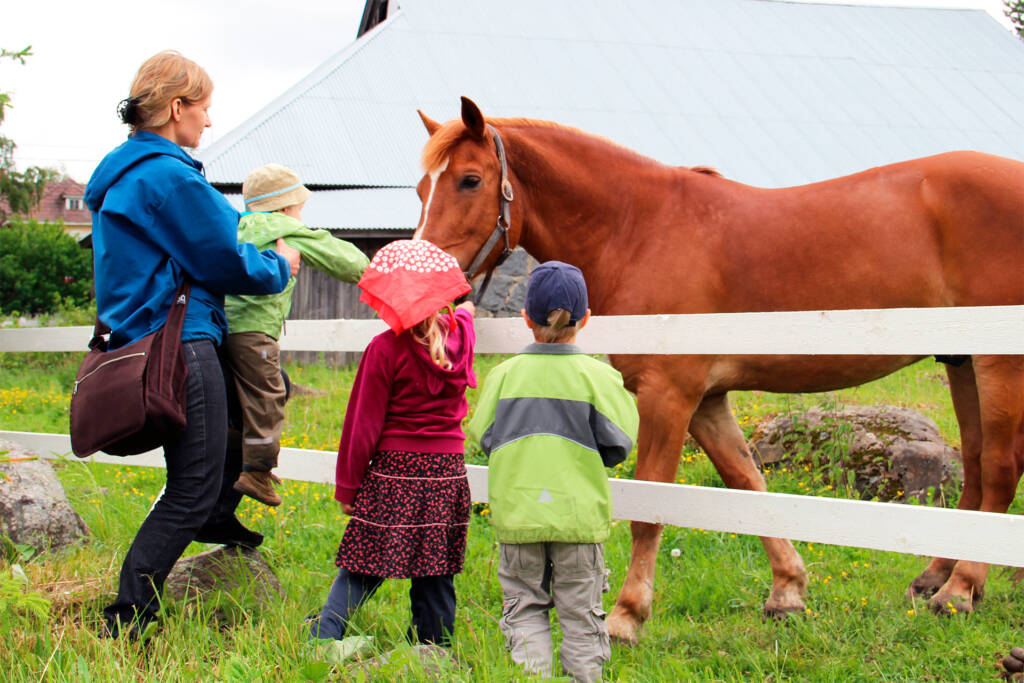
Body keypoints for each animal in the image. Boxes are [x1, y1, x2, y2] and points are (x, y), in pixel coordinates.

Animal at [411, 97, 1019, 647]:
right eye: (421, 189)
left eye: (469, 180)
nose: (422, 288)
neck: (639, 227)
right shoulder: (706, 399)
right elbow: (748, 483)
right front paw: (787, 592)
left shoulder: (667, 395)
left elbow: (650, 509)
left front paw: (627, 616)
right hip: (962, 365)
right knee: (975, 466)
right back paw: (937, 576)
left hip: (998, 364)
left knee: (998, 470)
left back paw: (960, 591)